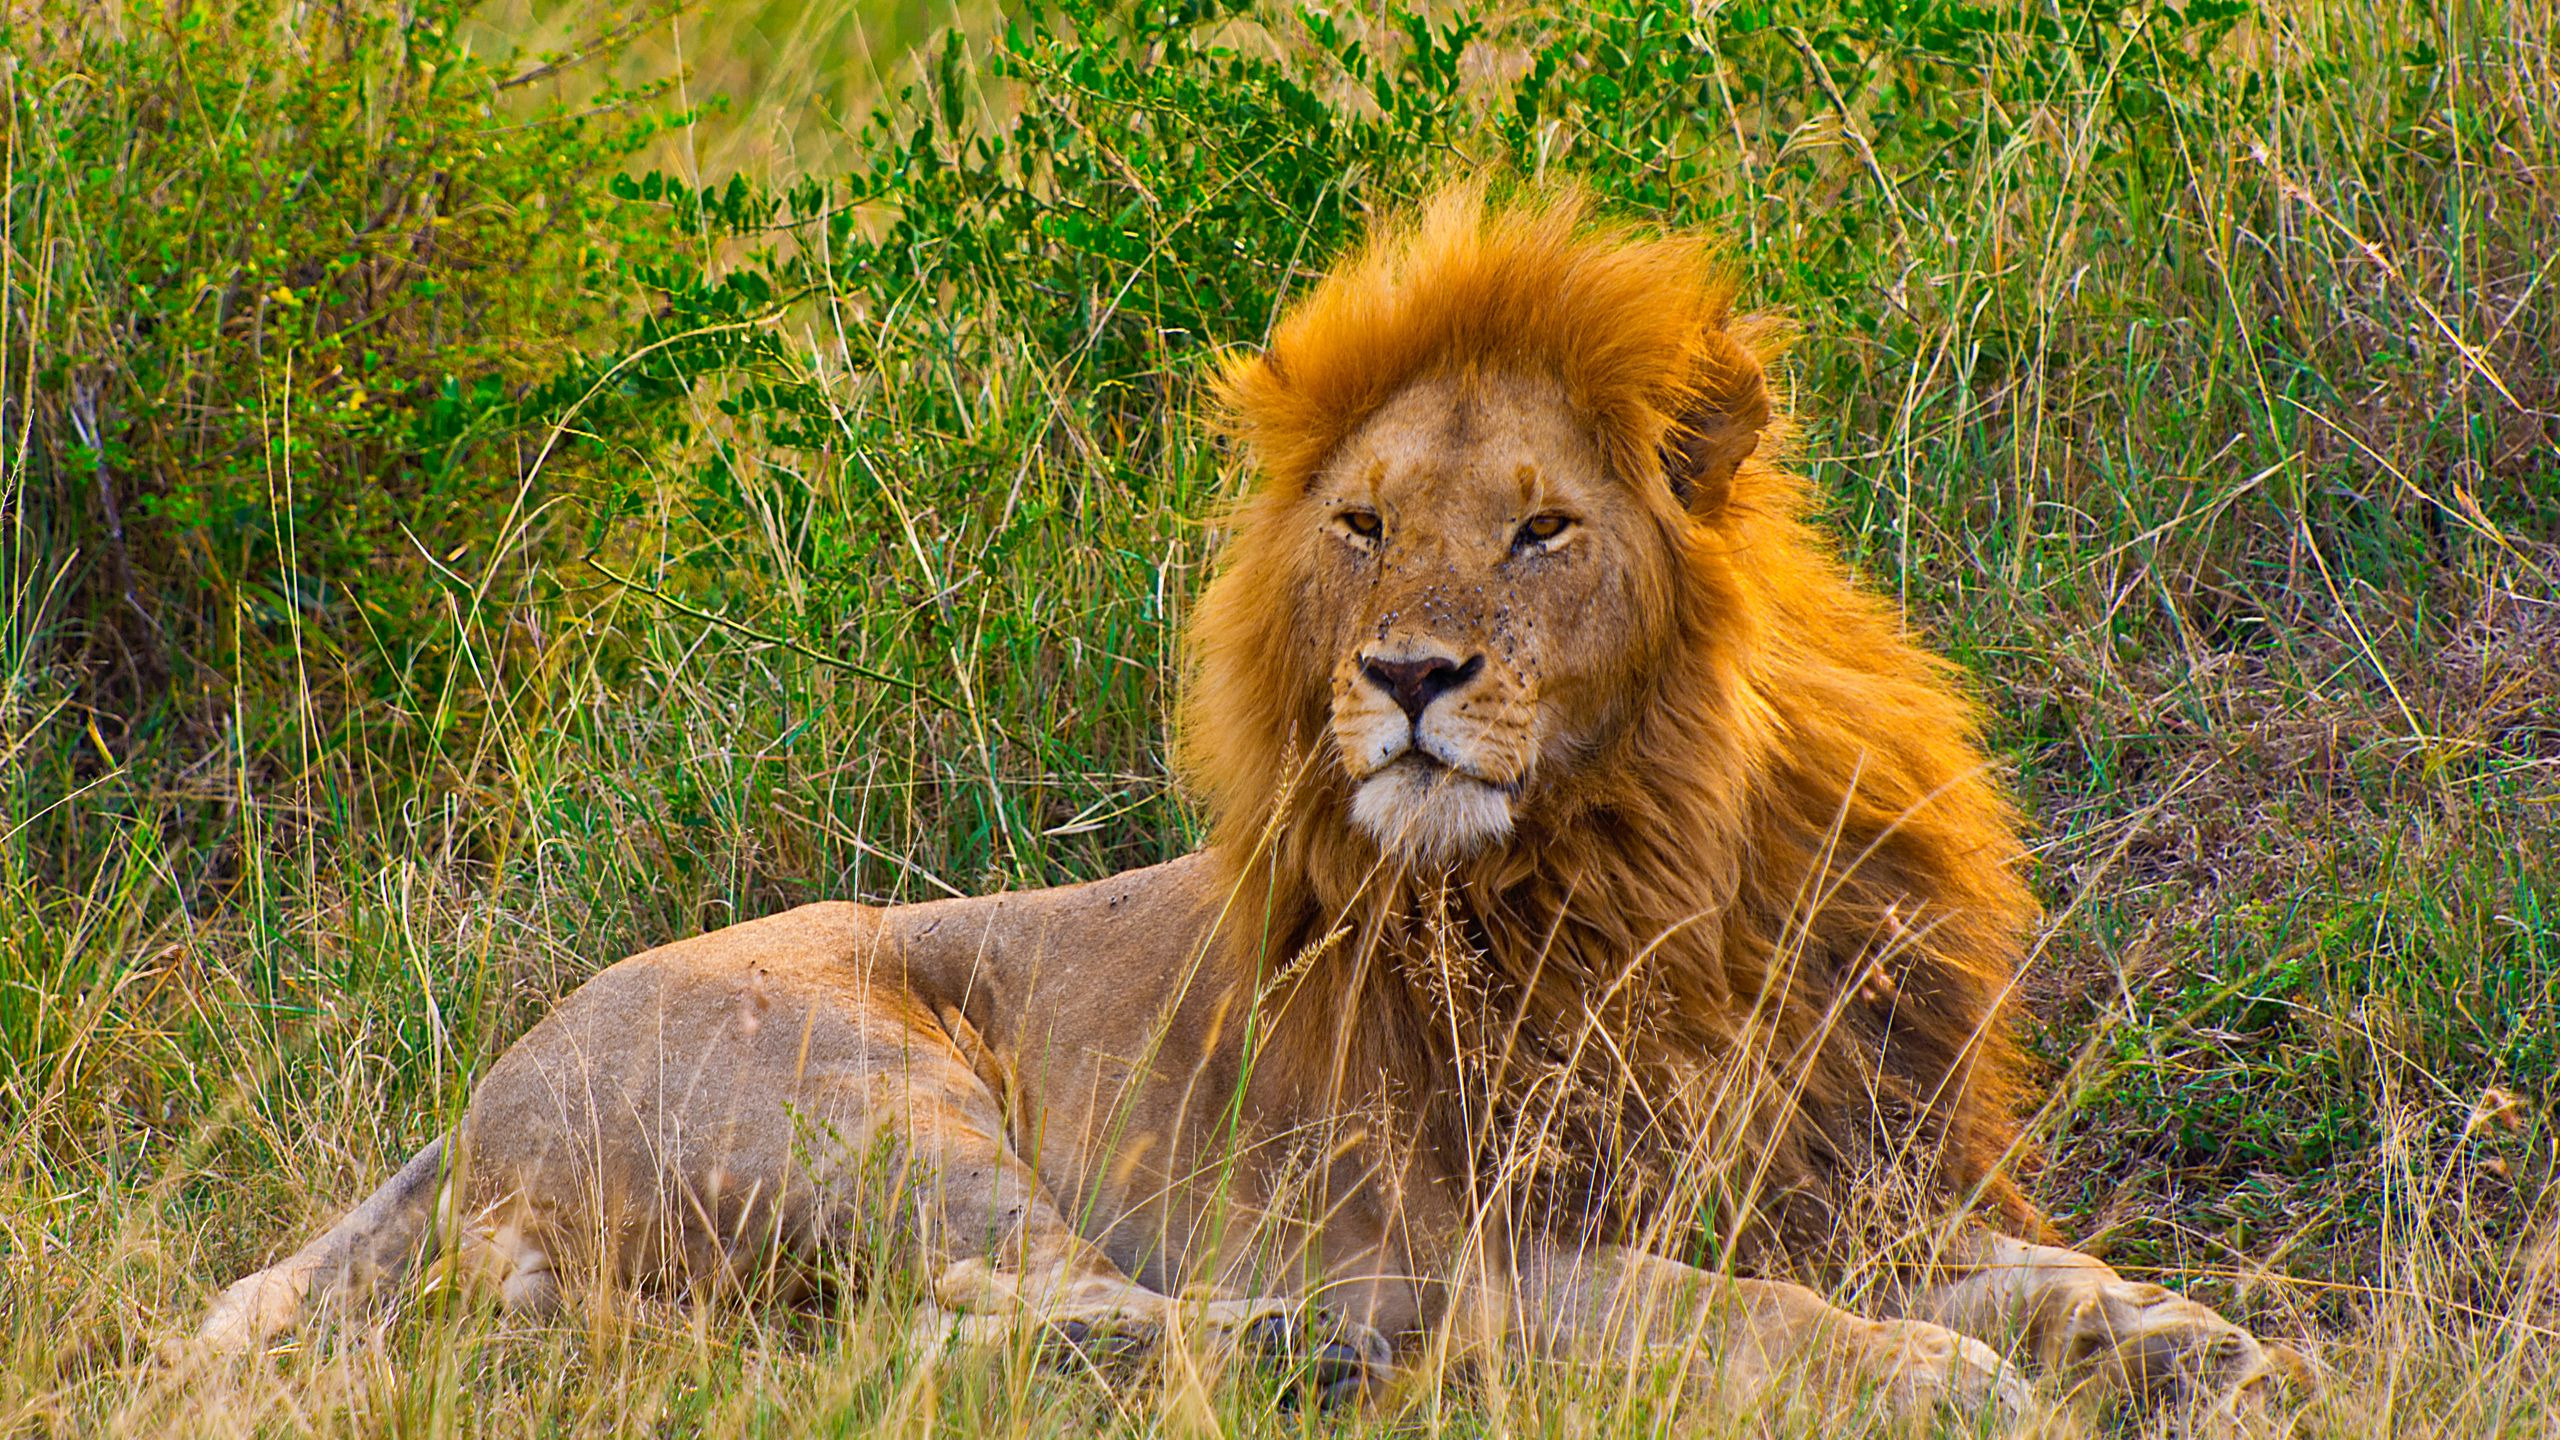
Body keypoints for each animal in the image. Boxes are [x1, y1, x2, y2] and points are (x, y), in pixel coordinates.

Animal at [196, 183, 2299, 1422]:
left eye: (1541, 529)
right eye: (1361, 526)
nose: (1408, 680)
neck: (1659, 866)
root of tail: (479, 1087)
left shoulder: (1839, 1165)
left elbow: (2030, 1266)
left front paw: (2177, 1337)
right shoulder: (1503, 1233)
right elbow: (1740, 1318)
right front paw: (1944, 1379)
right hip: (859, 1103)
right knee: (1021, 1310)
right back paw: (1339, 1350)